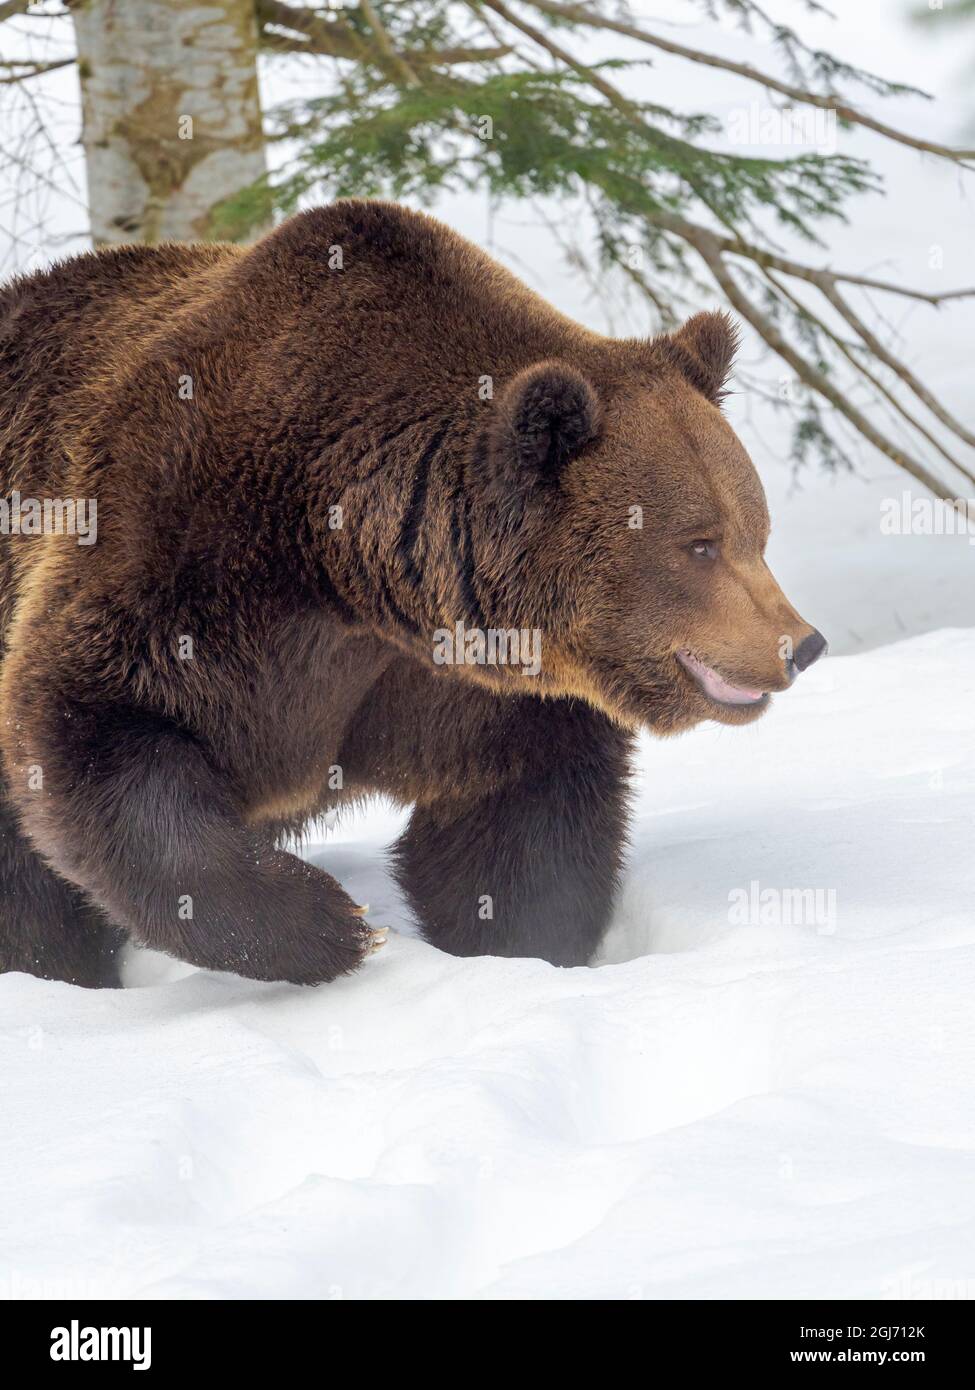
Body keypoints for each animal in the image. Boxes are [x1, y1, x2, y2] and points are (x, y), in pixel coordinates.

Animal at [0, 201, 823, 995]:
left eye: (756, 530)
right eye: (699, 544)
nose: (800, 644)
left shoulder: (461, 686)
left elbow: (518, 827)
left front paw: (520, 949)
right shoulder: (184, 554)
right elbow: (95, 730)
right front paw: (334, 927)